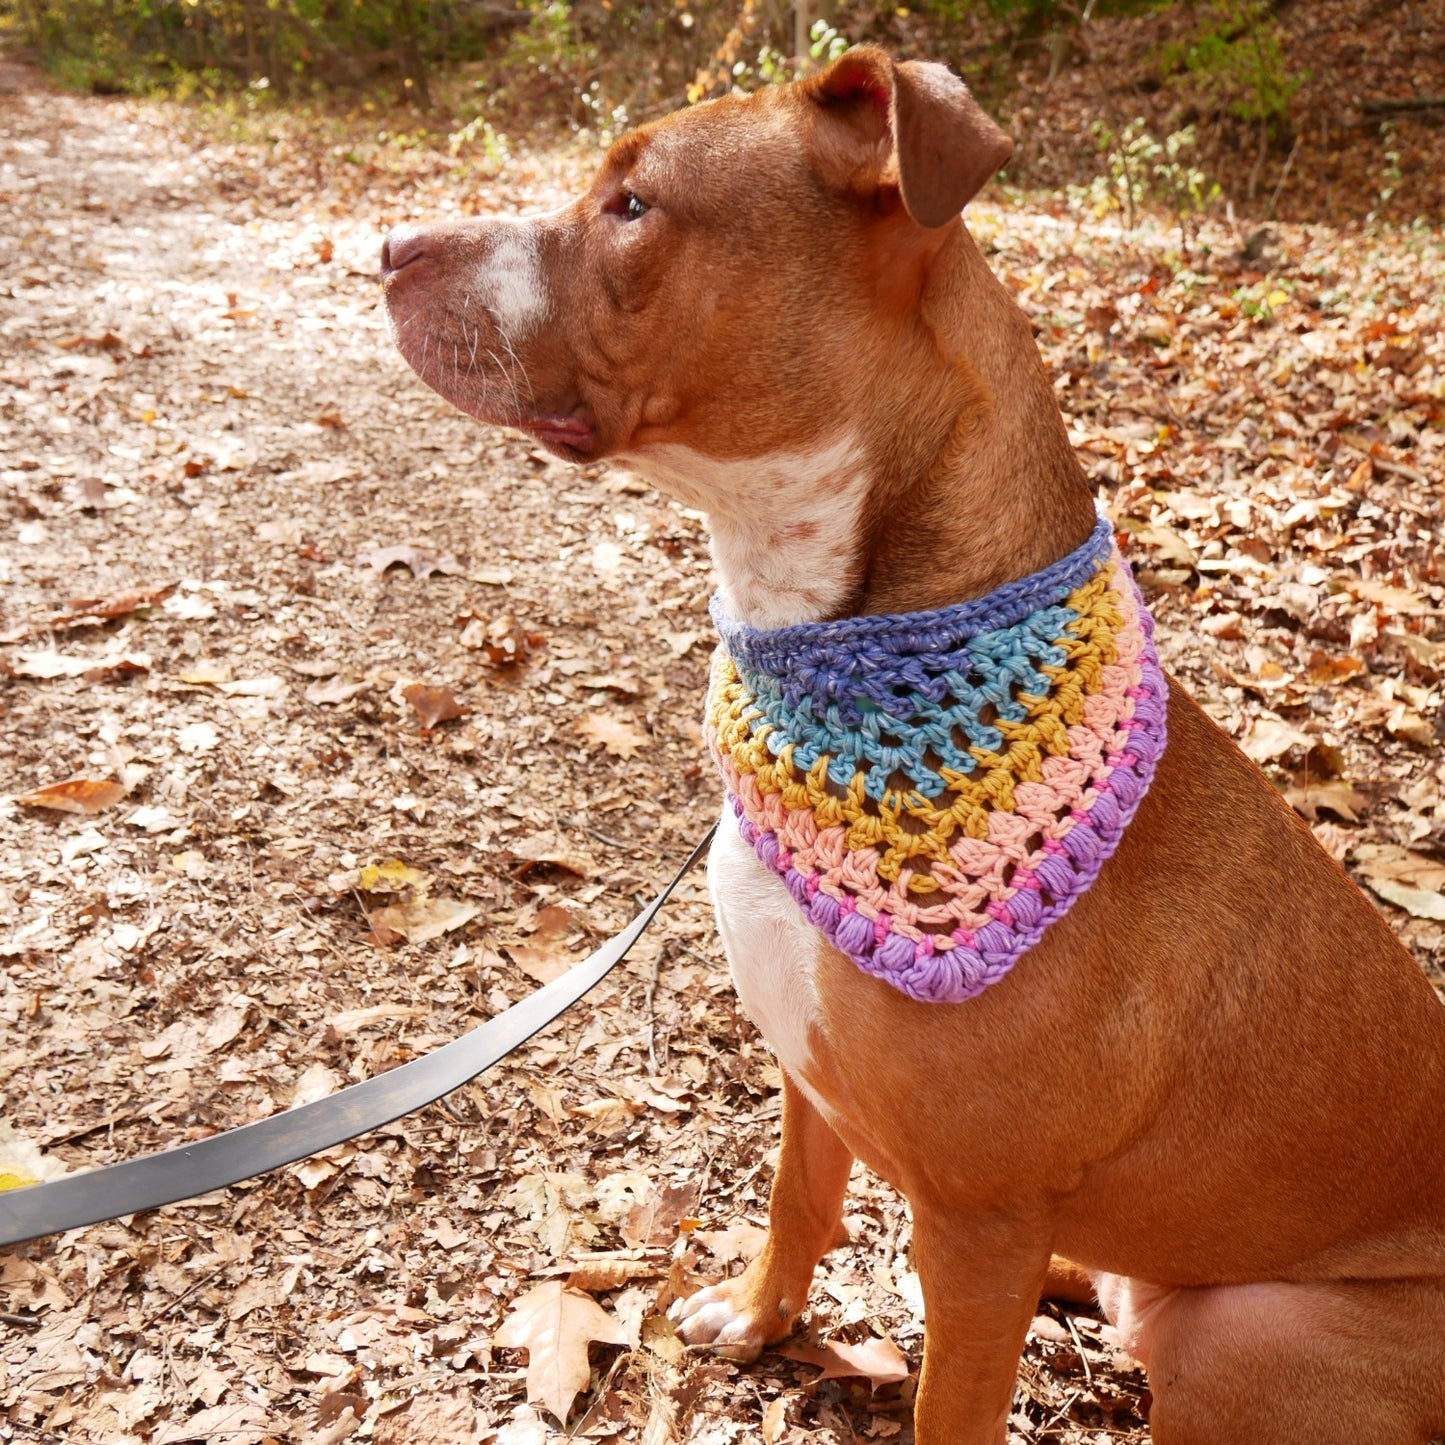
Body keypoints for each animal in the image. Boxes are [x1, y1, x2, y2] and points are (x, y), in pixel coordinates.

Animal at [384, 48, 1445, 1445]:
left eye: (634, 205)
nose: (389, 244)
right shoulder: (809, 1068)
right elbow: (796, 1192)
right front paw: (761, 1312)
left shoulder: (979, 1221)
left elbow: (954, 1397)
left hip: (1247, 1332)